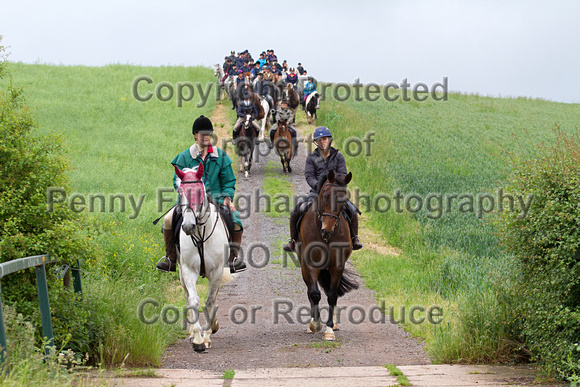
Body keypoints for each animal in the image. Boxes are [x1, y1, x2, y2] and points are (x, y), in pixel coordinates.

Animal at [174, 163, 233, 352]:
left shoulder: (216, 271)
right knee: (187, 296)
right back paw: (193, 333)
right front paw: (198, 339)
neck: (200, 233)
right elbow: (194, 300)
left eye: (200, 192)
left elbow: (210, 301)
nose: (188, 226)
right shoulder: (188, 270)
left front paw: (208, 334)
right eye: (180, 192)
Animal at [300, 171, 358, 342]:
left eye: (343, 199)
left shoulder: (337, 266)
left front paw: (329, 329)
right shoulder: (310, 264)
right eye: (325, 196)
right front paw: (315, 324)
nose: (327, 230)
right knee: (310, 291)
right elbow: (314, 293)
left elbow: (332, 296)